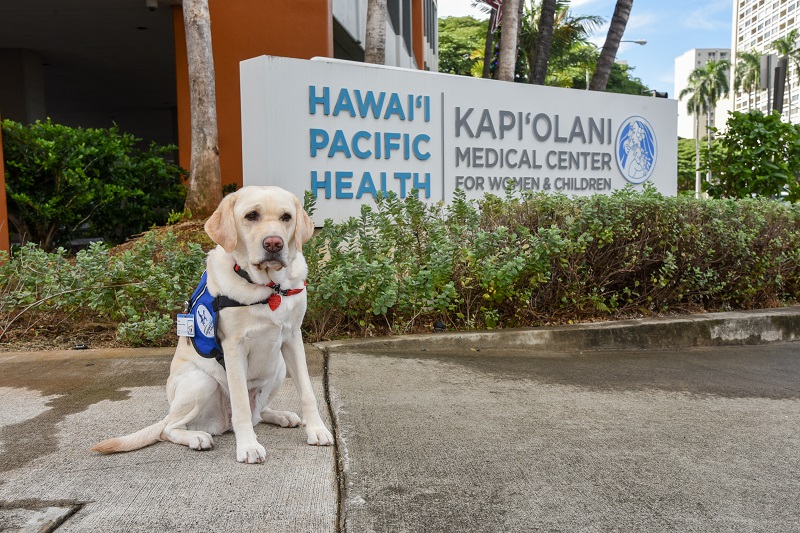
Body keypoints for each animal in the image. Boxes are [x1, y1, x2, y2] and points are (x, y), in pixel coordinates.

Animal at [92, 186, 332, 462]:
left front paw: (317, 430)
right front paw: (248, 446)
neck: (270, 287)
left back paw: (280, 415)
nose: (274, 243)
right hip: (200, 381)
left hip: (279, 368)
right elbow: (240, 404)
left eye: (286, 217)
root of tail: (223, 423)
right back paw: (197, 437)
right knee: (168, 429)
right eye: (251, 215)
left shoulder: (292, 338)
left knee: (258, 414)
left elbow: (307, 392)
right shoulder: (234, 347)